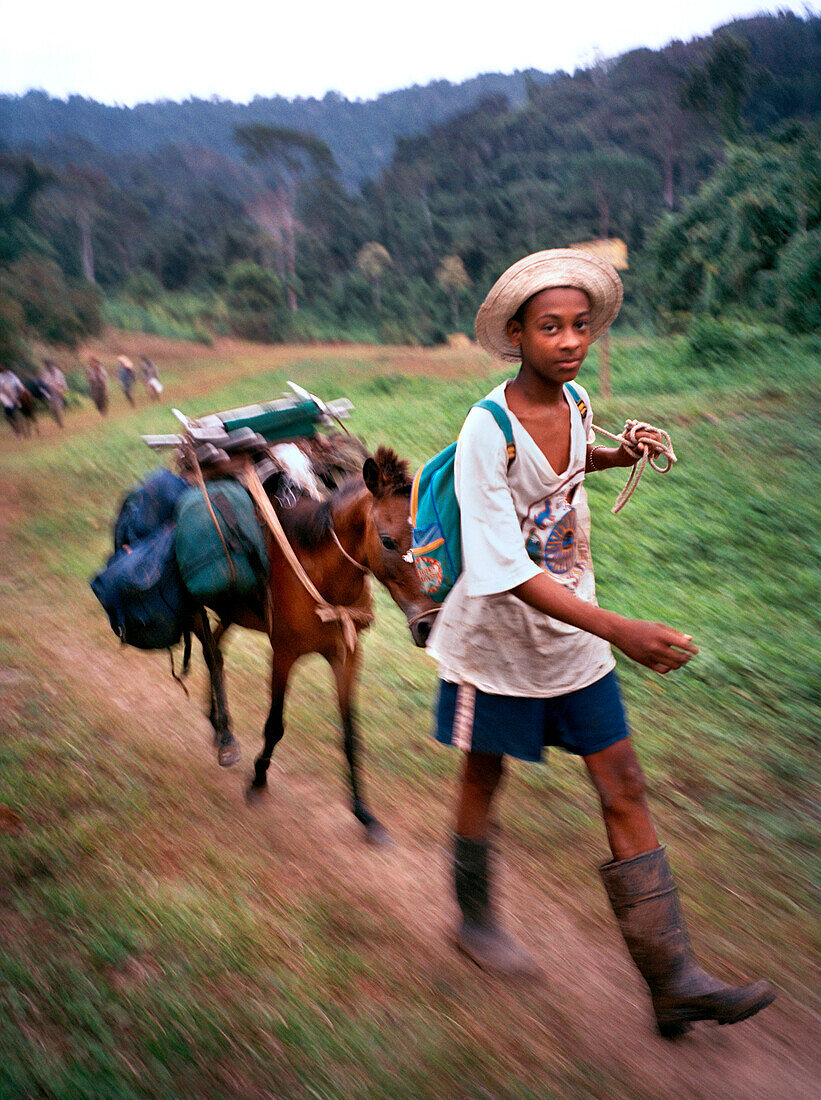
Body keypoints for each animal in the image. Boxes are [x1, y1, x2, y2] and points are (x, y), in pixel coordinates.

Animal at [193, 446, 435, 840]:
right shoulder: (284, 654)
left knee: (215, 649)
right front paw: (257, 781)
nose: (428, 625)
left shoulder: (346, 655)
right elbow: (274, 725)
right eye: (387, 541)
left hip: (231, 614)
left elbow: (351, 734)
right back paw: (224, 735)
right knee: (210, 652)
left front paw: (363, 813)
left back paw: (216, 722)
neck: (324, 576)